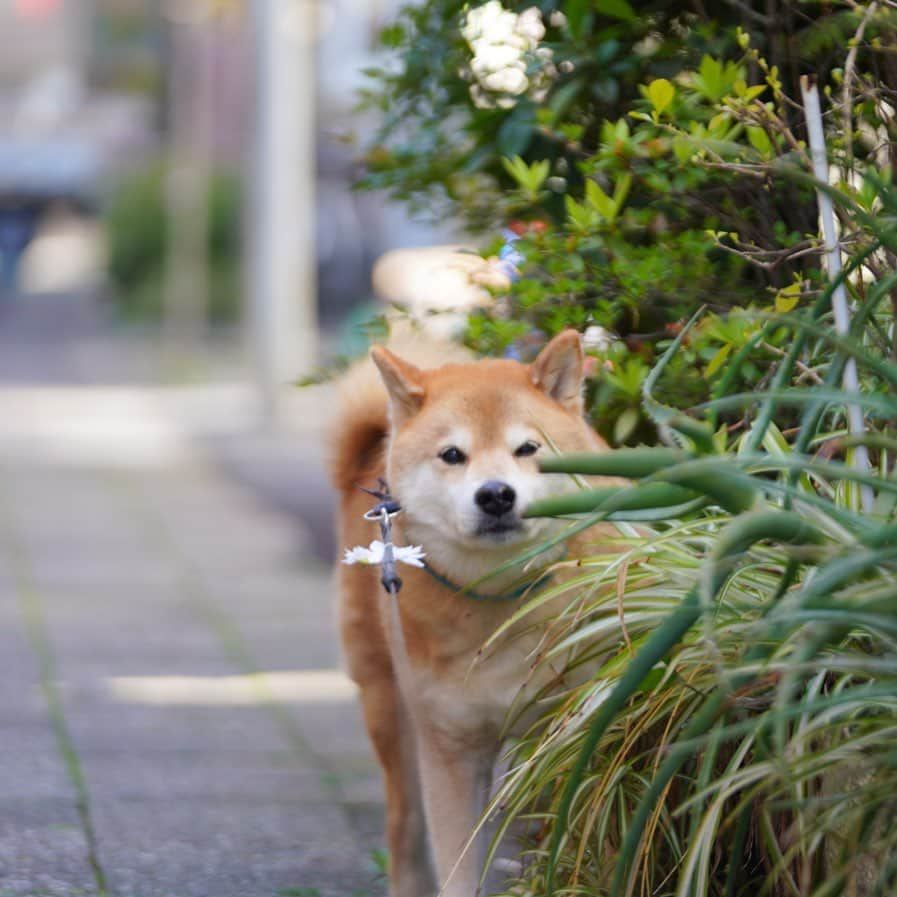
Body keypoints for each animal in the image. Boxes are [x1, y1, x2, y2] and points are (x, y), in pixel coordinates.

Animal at [332, 330, 612, 896]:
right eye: (452, 455)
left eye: (528, 448)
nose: (496, 494)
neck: (501, 603)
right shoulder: (451, 745)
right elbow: (457, 865)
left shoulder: (570, 729)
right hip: (390, 707)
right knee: (404, 823)